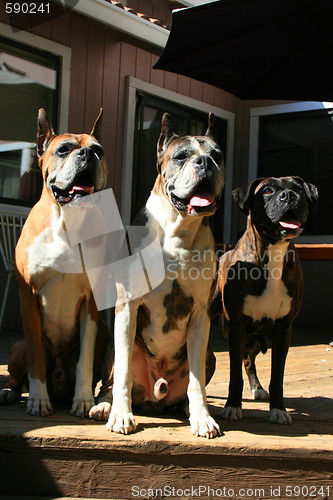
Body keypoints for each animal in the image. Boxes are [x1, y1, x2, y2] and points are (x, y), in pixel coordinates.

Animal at [0, 109, 108, 418]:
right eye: (63, 149)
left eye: (99, 150)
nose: (88, 154)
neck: (67, 222)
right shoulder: (28, 298)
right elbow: (36, 358)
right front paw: (38, 399)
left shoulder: (91, 305)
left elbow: (85, 359)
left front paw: (83, 399)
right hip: (18, 346)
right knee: (18, 374)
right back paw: (10, 392)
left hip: (106, 335)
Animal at [89, 112, 223, 438]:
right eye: (182, 156)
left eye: (218, 156)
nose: (205, 162)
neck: (178, 229)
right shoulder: (127, 306)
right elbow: (123, 371)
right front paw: (121, 415)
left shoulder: (201, 314)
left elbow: (196, 380)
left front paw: (202, 417)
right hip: (110, 348)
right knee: (111, 379)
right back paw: (105, 406)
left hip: (211, 354)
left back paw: (189, 409)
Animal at [215, 178, 316, 424]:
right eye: (268, 191)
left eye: (298, 189)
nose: (288, 195)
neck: (273, 251)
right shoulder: (237, 326)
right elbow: (234, 373)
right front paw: (232, 406)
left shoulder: (283, 329)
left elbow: (277, 375)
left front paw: (278, 409)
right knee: (244, 360)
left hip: (257, 338)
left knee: (249, 360)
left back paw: (257, 388)